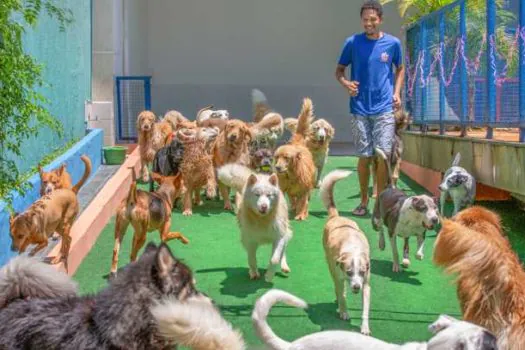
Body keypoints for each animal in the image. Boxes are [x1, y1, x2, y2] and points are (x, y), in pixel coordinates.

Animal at [320, 171, 372, 334]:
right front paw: (344, 312)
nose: (356, 287)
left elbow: (365, 309)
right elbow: (342, 295)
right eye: (349, 272)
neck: (353, 248)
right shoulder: (340, 276)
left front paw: (365, 327)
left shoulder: (366, 284)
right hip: (331, 266)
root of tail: (336, 216)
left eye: (362, 272)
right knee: (339, 290)